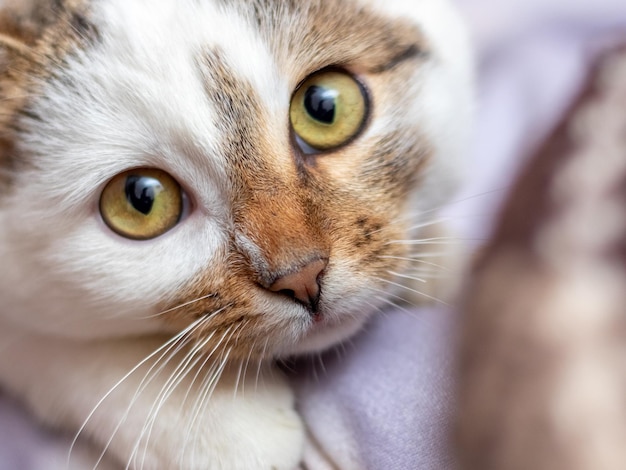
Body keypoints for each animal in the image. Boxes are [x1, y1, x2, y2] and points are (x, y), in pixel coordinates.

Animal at [0, 0, 468, 468]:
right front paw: (210, 421)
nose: (302, 277)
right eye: (141, 200)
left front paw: (435, 259)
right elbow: (34, 341)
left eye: (325, 107)